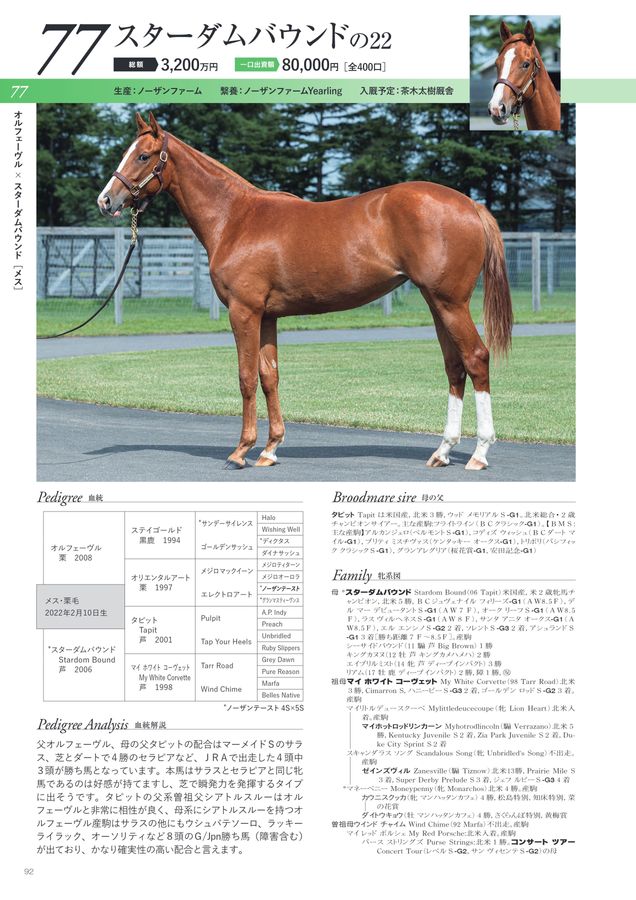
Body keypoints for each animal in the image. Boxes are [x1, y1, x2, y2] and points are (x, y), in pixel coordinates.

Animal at [97, 112, 513, 471]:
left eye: (143, 155)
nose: (106, 200)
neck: (236, 218)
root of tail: (471, 205)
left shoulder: (243, 311)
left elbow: (246, 377)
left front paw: (241, 451)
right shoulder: (267, 316)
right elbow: (269, 376)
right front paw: (270, 449)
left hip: (450, 303)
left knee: (476, 359)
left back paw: (479, 454)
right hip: (437, 303)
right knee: (455, 366)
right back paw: (442, 451)